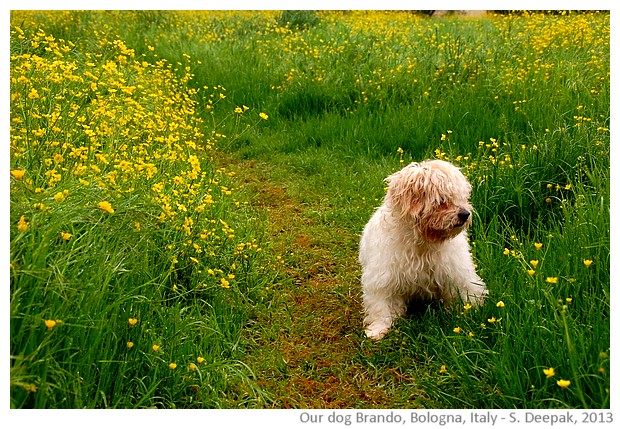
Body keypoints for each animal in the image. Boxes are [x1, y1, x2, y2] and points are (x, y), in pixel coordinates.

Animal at [360, 159, 486, 340]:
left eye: (461, 198)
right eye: (442, 200)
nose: (465, 214)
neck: (423, 242)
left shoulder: (457, 271)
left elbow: (466, 291)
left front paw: (472, 314)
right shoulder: (383, 278)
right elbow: (380, 306)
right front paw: (378, 328)